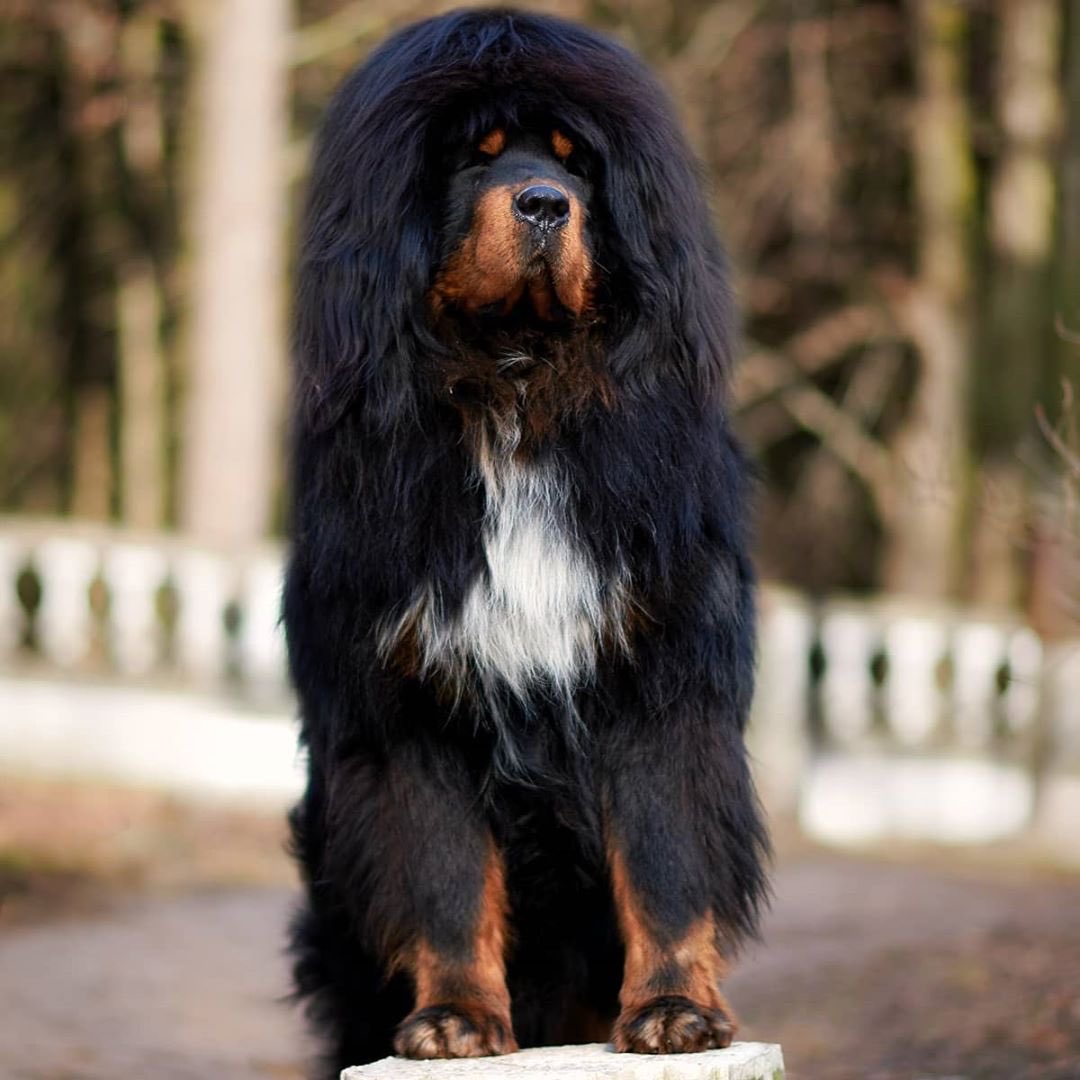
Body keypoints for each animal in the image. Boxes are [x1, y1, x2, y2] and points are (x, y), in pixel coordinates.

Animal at [282, 10, 764, 1080]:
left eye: (579, 163)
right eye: (478, 156)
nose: (546, 203)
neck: (518, 387)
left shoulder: (659, 674)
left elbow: (665, 860)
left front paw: (674, 1013)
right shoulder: (408, 702)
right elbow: (444, 878)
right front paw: (455, 1022)